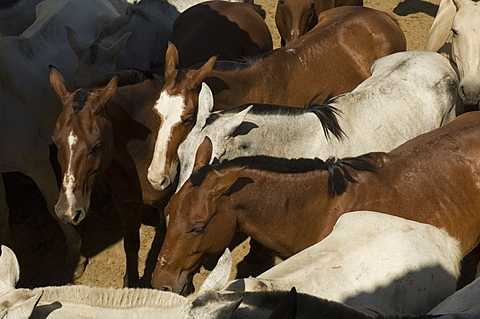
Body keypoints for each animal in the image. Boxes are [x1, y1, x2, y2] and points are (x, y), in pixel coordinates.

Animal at [48, 67, 177, 288]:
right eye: (55, 142)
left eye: (97, 145)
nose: (68, 211)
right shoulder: (125, 203)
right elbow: (131, 244)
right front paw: (131, 282)